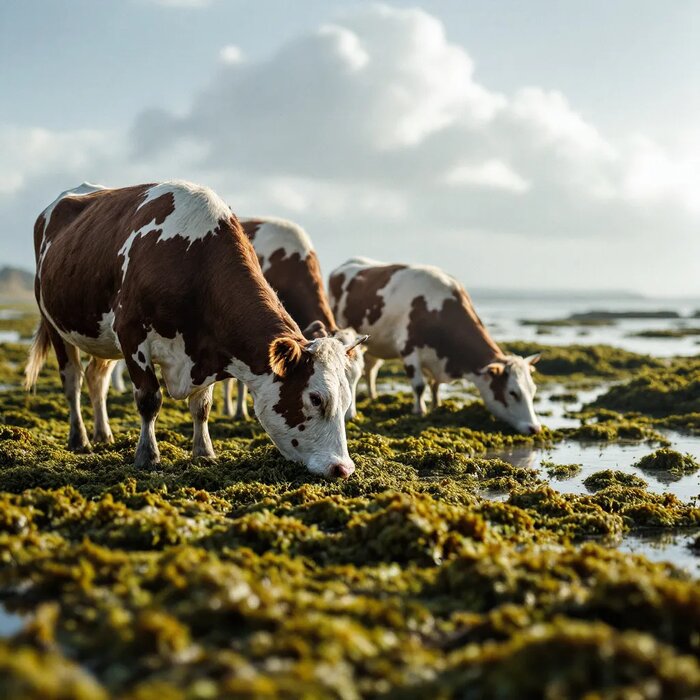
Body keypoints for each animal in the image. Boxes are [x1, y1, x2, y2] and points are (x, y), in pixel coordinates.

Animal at [328, 258, 540, 432]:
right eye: (513, 392)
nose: (535, 428)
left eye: (533, 390)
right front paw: (419, 411)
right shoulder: (409, 349)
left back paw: (373, 396)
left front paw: (436, 406)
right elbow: (419, 385)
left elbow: (435, 385)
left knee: (371, 370)